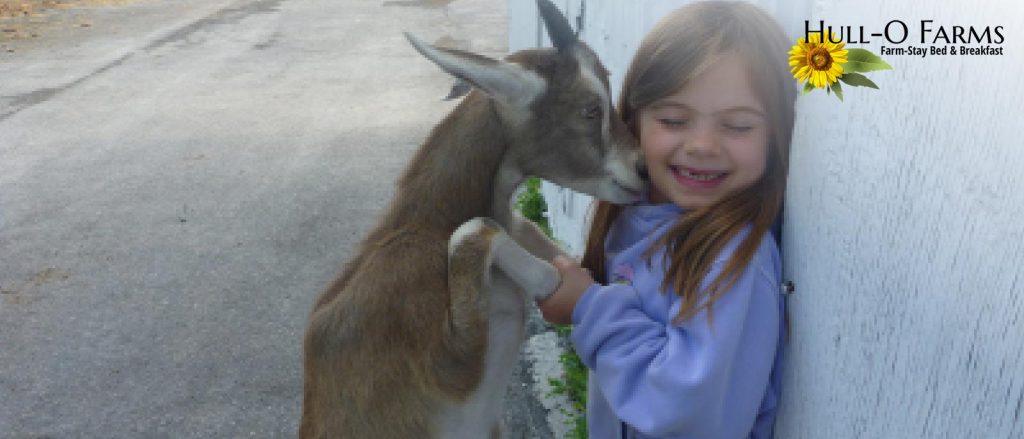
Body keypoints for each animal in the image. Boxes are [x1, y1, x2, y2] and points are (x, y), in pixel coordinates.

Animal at [299, 1, 643, 435]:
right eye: (591, 109)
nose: (643, 169)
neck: (429, 223)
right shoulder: (451, 369)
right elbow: (477, 229)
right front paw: (555, 285)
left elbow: (520, 228)